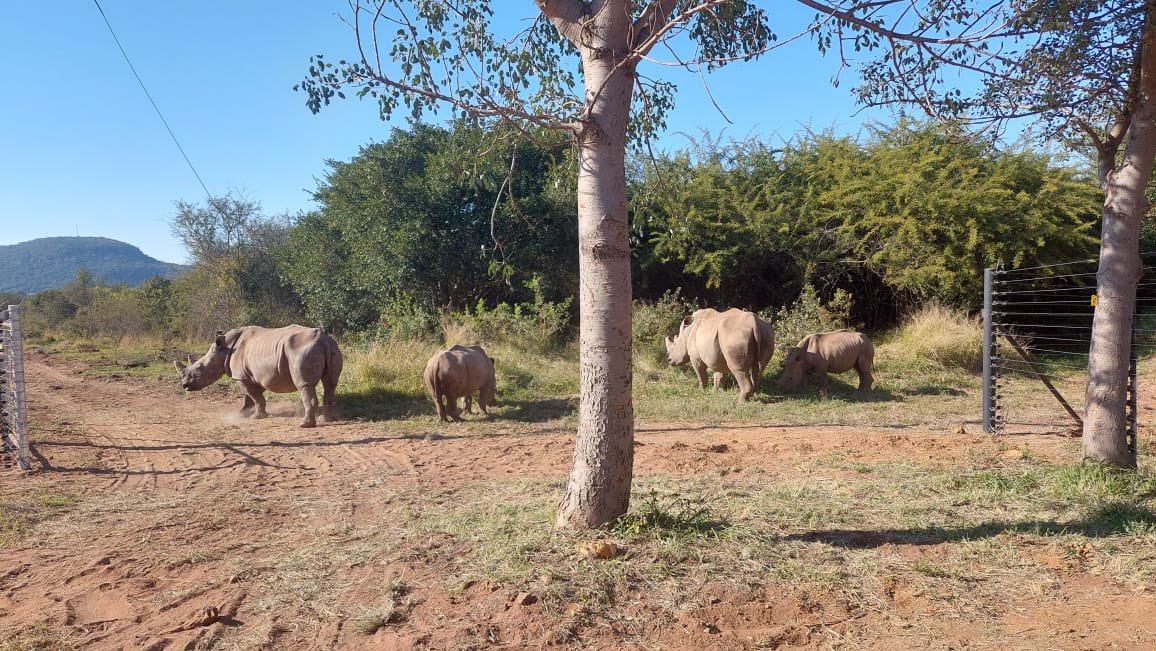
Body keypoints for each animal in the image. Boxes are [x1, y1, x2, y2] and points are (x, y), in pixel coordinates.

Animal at [175, 325, 343, 428]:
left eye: (199, 368)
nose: (185, 386)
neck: (225, 349)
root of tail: (324, 340)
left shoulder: (241, 377)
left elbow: (255, 397)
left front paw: (256, 417)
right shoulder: (252, 376)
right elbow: (251, 396)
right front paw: (242, 413)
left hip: (301, 350)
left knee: (304, 385)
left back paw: (305, 424)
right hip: (333, 348)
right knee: (330, 384)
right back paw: (325, 419)